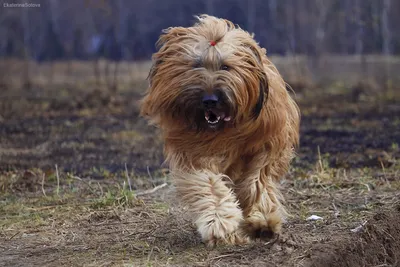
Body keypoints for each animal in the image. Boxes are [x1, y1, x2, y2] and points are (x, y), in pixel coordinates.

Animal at [141, 14, 300, 247]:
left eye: (226, 67)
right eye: (196, 65)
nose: (210, 100)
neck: (225, 129)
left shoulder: (267, 146)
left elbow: (258, 182)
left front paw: (263, 221)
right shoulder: (192, 152)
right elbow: (208, 184)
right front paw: (218, 221)